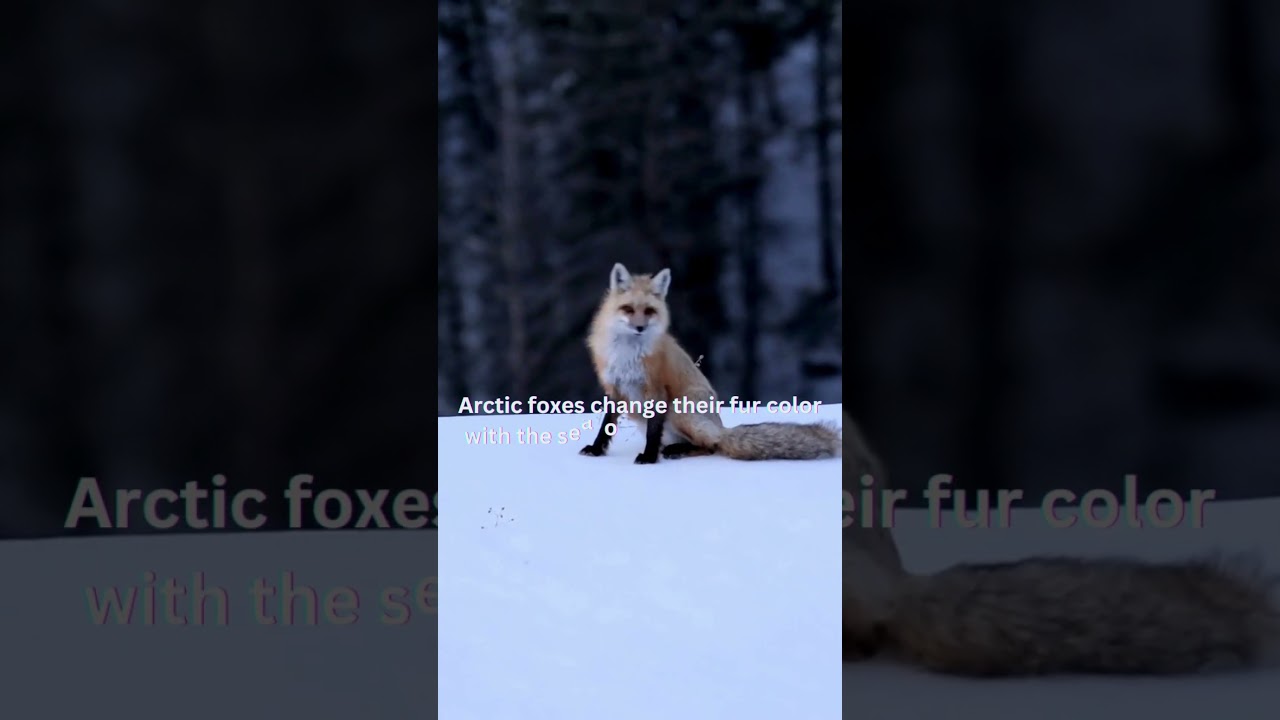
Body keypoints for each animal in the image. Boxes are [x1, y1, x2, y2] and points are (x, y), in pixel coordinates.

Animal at [578, 262, 841, 464]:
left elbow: (653, 433)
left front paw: (649, 458)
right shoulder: (614, 387)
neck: (627, 354)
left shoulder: (657, 391)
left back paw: (676, 451)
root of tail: (721, 426)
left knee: (712, 445)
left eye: (650, 311)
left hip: (679, 411)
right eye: (628, 309)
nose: (640, 328)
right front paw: (597, 449)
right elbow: (606, 427)